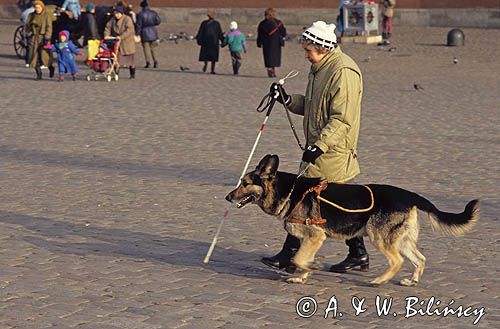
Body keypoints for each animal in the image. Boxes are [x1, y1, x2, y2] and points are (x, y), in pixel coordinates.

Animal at [225, 154, 478, 284]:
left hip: (380, 238)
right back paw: (411, 280)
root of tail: (410, 195)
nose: (227, 197)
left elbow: (299, 258)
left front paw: (309, 268)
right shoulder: (312, 240)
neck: (289, 191)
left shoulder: (315, 237)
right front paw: (304, 275)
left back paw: (379, 280)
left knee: (397, 261)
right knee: (420, 259)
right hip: (401, 240)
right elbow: (301, 257)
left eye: (245, 183)